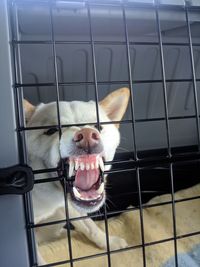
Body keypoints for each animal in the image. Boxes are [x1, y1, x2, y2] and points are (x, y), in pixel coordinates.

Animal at [23, 88, 130, 266]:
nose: (86, 135)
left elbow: (91, 227)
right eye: (51, 130)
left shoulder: (70, 205)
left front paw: (109, 242)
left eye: (98, 126)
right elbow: (35, 256)